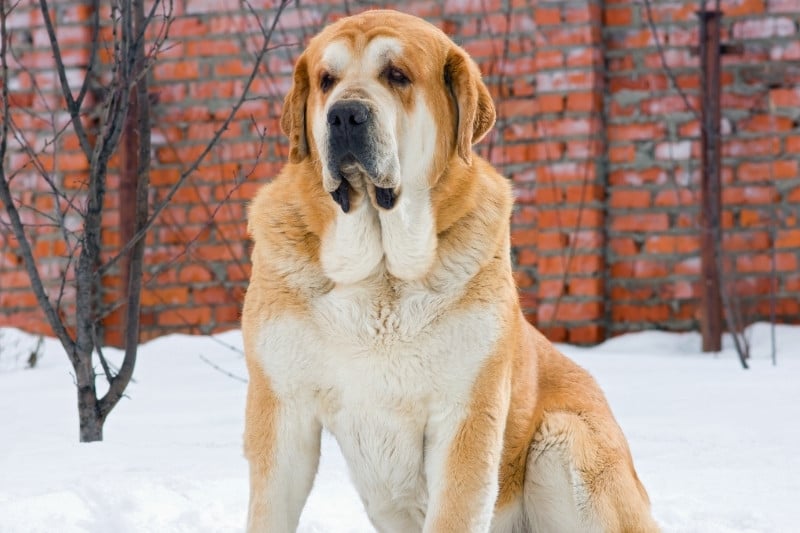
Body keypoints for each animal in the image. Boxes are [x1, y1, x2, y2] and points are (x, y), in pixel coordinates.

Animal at [241, 9, 660, 532]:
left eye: (397, 75)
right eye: (326, 81)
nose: (345, 115)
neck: (382, 275)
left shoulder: (466, 416)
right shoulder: (282, 409)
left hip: (566, 442)